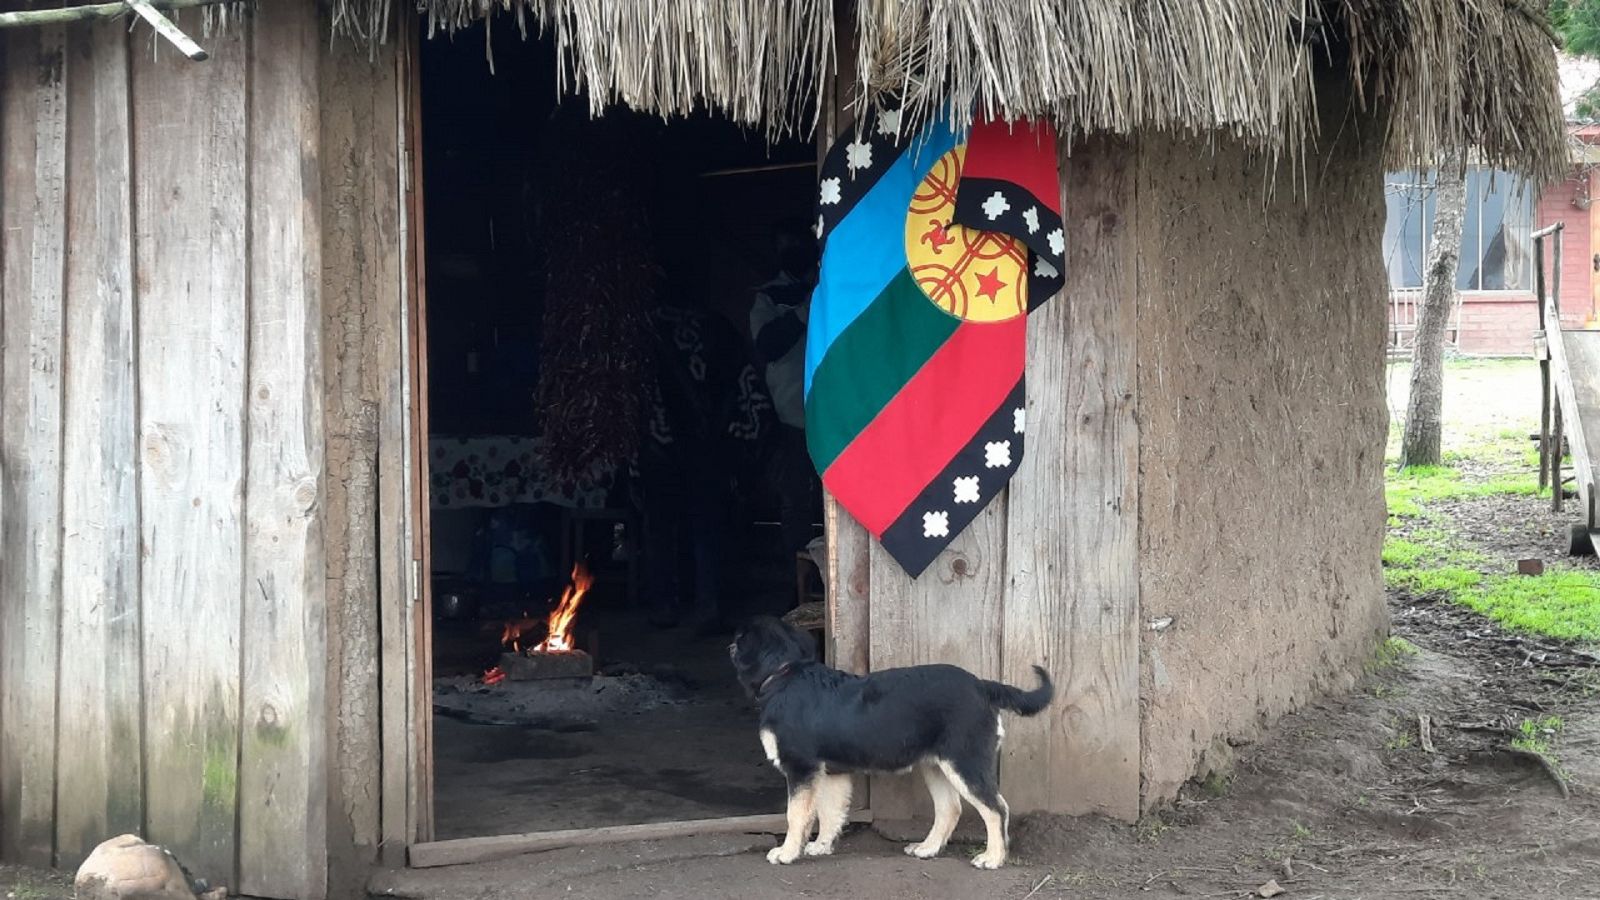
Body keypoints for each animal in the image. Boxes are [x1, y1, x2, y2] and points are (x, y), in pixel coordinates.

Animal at [732, 611, 1056, 864]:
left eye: (739, 639)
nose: (730, 644)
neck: (785, 674)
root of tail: (982, 686)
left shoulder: (800, 766)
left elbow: (796, 814)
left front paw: (787, 853)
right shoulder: (831, 771)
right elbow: (830, 812)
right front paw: (821, 847)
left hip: (965, 762)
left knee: (996, 809)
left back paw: (993, 858)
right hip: (936, 765)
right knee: (950, 809)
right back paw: (927, 848)